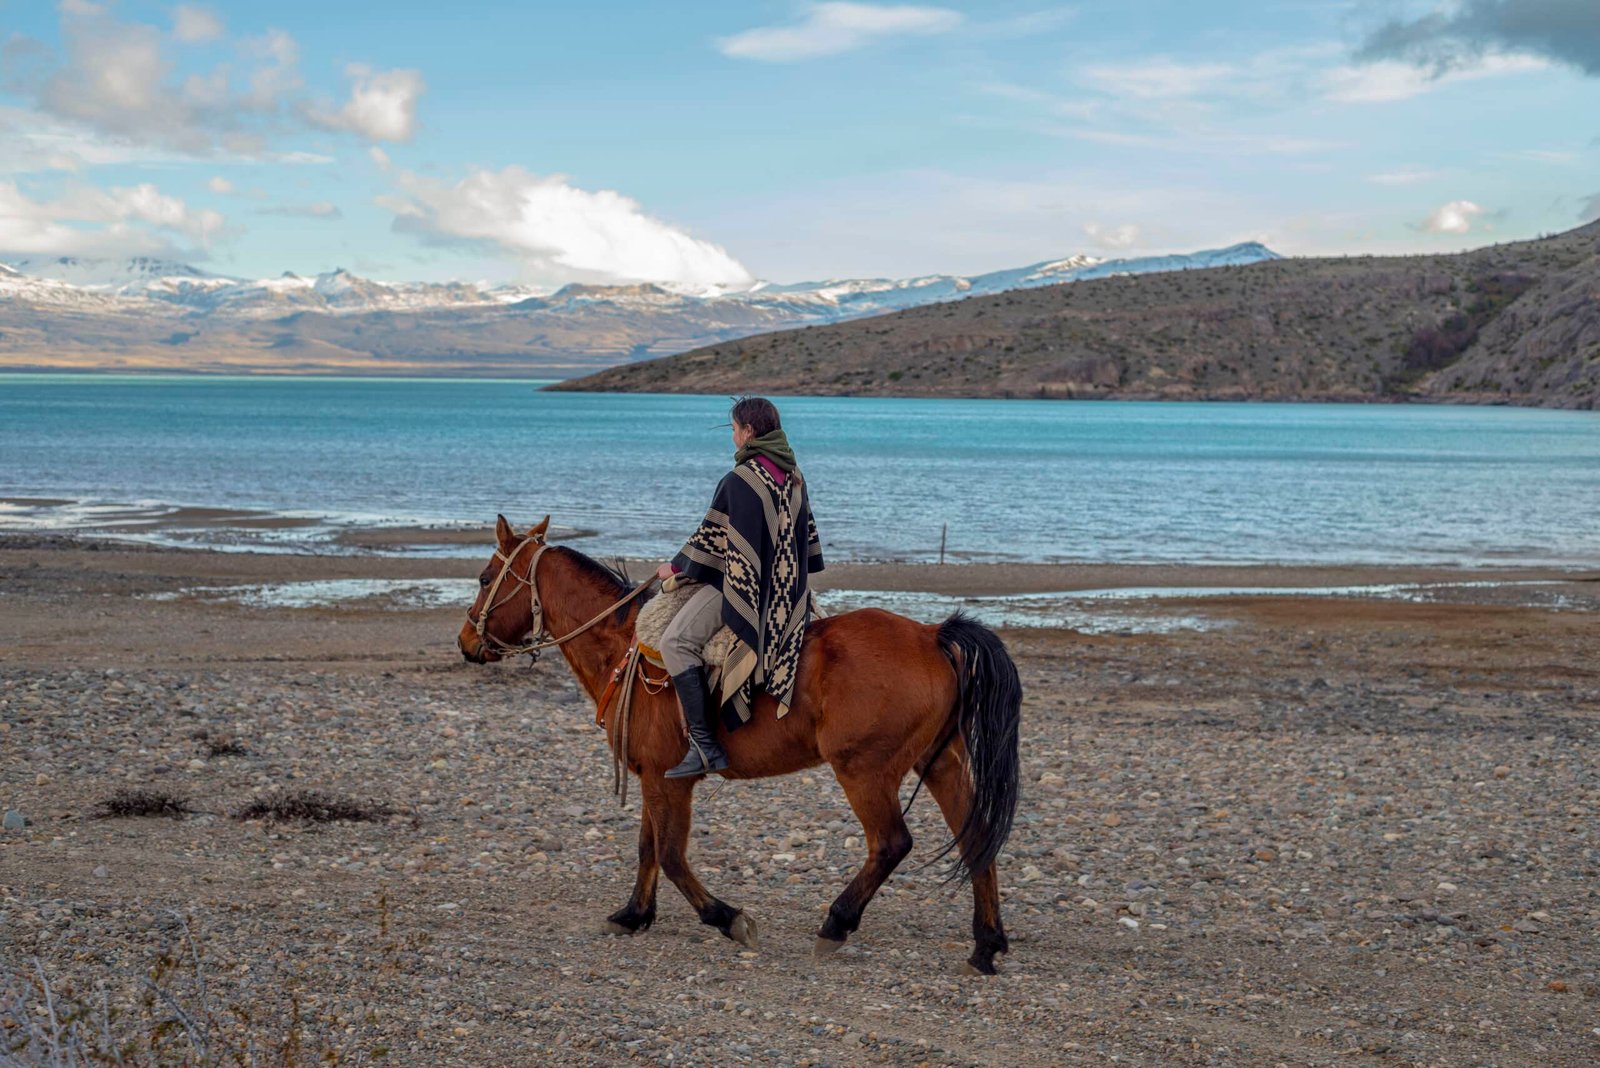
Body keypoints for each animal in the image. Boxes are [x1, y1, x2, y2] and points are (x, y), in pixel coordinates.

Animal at [457, 511, 1017, 972]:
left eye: (485, 578)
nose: (465, 643)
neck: (622, 645)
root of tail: (930, 635)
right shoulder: (654, 777)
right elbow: (648, 848)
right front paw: (634, 914)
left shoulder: (669, 781)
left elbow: (671, 856)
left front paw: (727, 918)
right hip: (940, 763)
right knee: (977, 838)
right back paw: (986, 944)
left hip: (864, 771)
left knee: (891, 843)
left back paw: (837, 923)